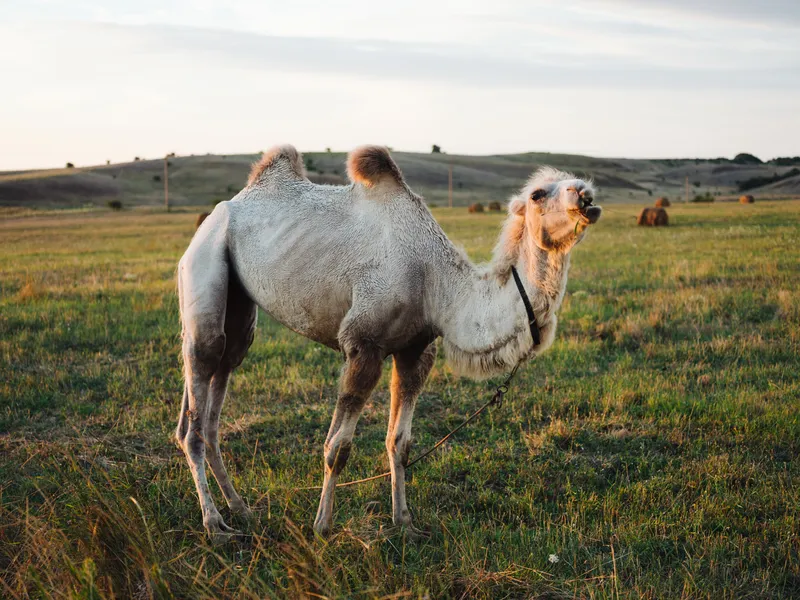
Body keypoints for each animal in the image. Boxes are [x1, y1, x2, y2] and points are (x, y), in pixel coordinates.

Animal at [175, 145, 602, 541]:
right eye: (538, 194)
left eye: (577, 182)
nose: (586, 196)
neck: (436, 285)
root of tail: (218, 212)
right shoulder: (362, 343)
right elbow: (338, 446)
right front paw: (322, 526)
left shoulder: (417, 350)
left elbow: (400, 442)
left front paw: (405, 523)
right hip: (205, 265)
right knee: (199, 392)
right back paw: (215, 524)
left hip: (239, 309)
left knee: (216, 389)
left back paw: (239, 507)